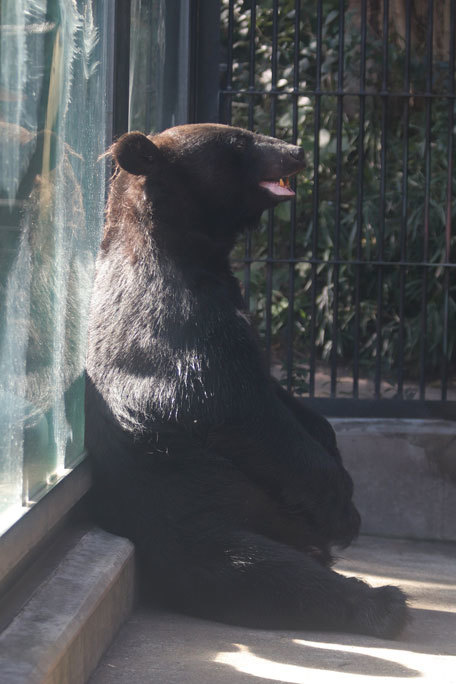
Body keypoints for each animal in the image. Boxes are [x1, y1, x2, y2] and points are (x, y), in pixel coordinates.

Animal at [84, 121, 406, 636]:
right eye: (238, 140)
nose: (297, 150)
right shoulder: (175, 322)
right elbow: (231, 405)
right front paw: (342, 503)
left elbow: (282, 397)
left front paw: (327, 440)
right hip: (186, 507)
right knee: (257, 570)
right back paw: (382, 602)